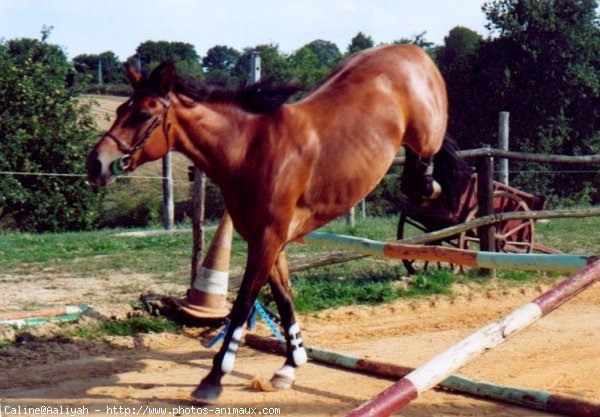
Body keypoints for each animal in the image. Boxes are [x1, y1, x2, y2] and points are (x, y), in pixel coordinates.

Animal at [85, 44, 468, 402]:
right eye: (119, 110)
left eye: (143, 114)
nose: (95, 164)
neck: (248, 149)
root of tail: (411, 50)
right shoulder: (268, 241)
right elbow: (284, 298)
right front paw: (290, 365)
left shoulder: (267, 240)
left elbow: (241, 306)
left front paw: (214, 378)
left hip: (425, 135)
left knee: (427, 163)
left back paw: (429, 185)